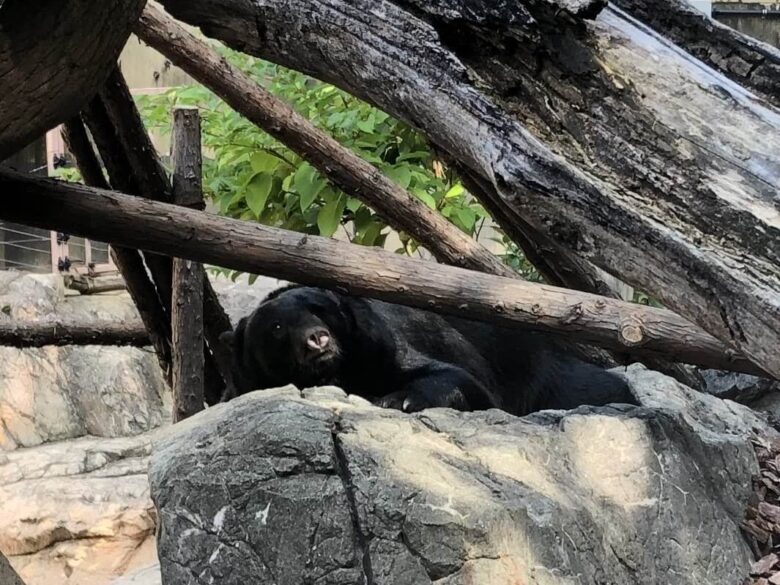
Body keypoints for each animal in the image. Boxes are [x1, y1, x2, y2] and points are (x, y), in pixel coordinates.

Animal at [218, 284, 632, 416]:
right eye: (276, 328)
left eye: (319, 310)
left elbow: (459, 377)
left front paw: (397, 398)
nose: (317, 339)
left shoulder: (383, 344)